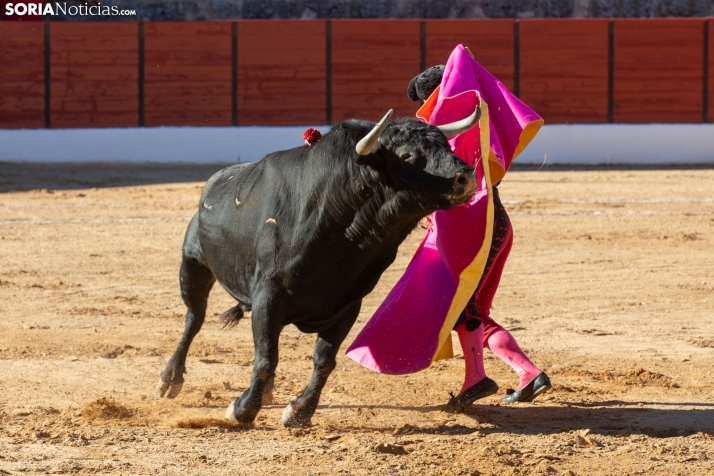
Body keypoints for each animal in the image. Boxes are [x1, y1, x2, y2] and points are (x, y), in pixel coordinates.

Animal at [156, 111, 478, 428]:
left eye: (446, 145)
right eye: (407, 156)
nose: (467, 177)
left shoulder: (348, 304)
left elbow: (324, 359)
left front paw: (300, 411)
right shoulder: (268, 294)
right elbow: (266, 356)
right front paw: (243, 410)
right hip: (193, 265)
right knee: (194, 319)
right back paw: (170, 379)